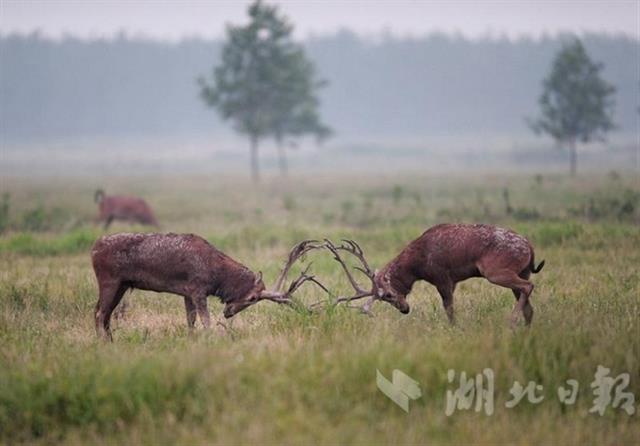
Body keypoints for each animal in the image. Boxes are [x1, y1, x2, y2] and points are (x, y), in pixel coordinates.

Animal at [91, 233, 324, 342]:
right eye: (252, 298)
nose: (228, 312)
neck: (216, 277)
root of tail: (93, 250)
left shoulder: (187, 293)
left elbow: (191, 321)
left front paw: (192, 340)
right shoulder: (198, 289)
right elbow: (206, 321)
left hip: (122, 285)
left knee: (103, 313)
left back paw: (110, 341)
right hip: (110, 281)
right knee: (100, 313)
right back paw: (103, 343)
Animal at [324, 225, 544, 326]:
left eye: (387, 294)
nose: (404, 309)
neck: (417, 264)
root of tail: (530, 247)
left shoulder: (443, 278)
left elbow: (449, 309)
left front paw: (455, 329)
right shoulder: (450, 281)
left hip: (495, 273)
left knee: (528, 287)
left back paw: (511, 322)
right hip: (522, 271)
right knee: (529, 306)